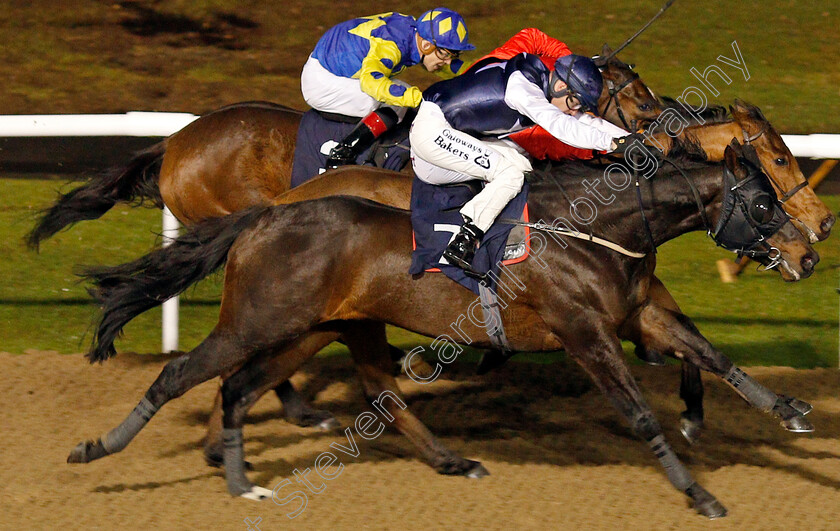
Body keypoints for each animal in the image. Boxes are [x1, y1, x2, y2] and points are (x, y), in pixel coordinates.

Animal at [69, 143, 816, 516]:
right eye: (762, 201)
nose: (809, 254)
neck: (595, 227)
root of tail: (266, 212)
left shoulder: (640, 312)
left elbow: (713, 355)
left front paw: (790, 410)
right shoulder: (585, 334)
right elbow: (639, 414)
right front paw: (699, 493)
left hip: (317, 324)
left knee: (255, 388)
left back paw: (245, 477)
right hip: (261, 318)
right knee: (186, 374)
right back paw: (99, 449)